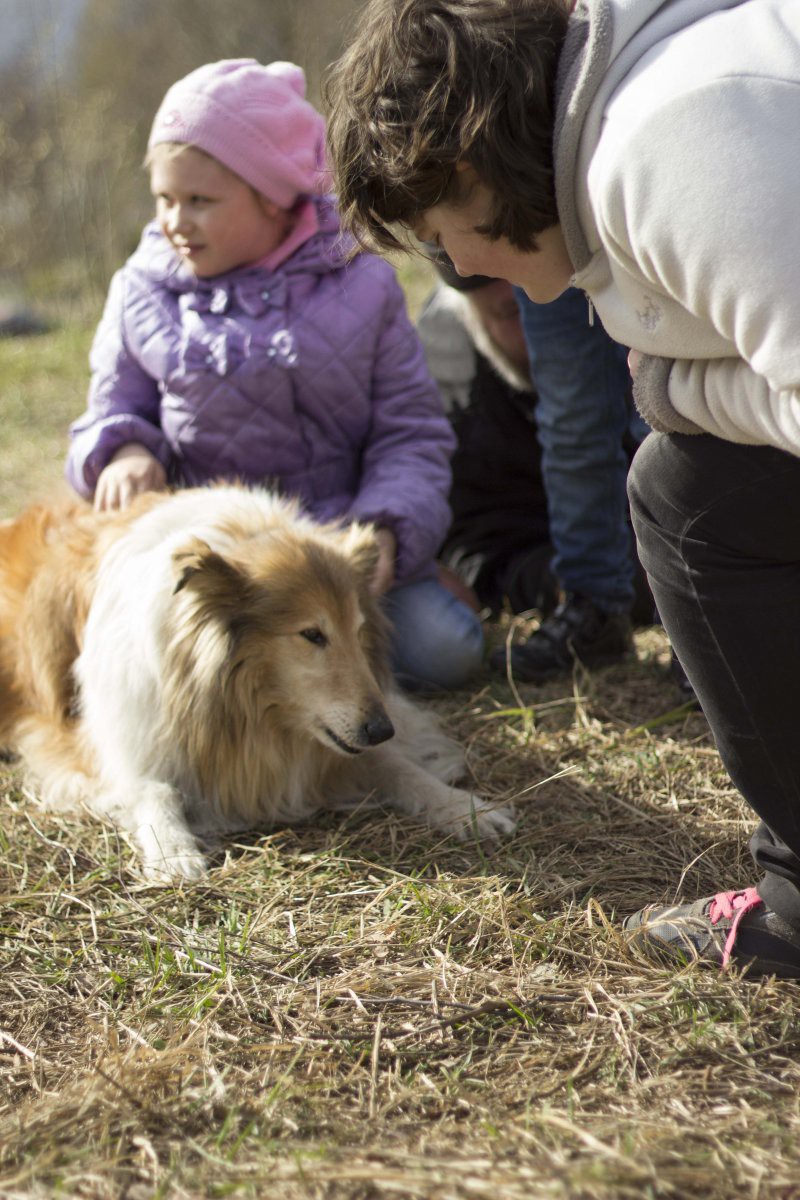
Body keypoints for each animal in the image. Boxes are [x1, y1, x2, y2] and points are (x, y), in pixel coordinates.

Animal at [0, 485, 514, 879]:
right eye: (312, 634)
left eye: (358, 629)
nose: (380, 728)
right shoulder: (121, 737)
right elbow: (153, 788)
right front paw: (174, 852)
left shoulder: (337, 744)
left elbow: (398, 766)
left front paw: (468, 809)